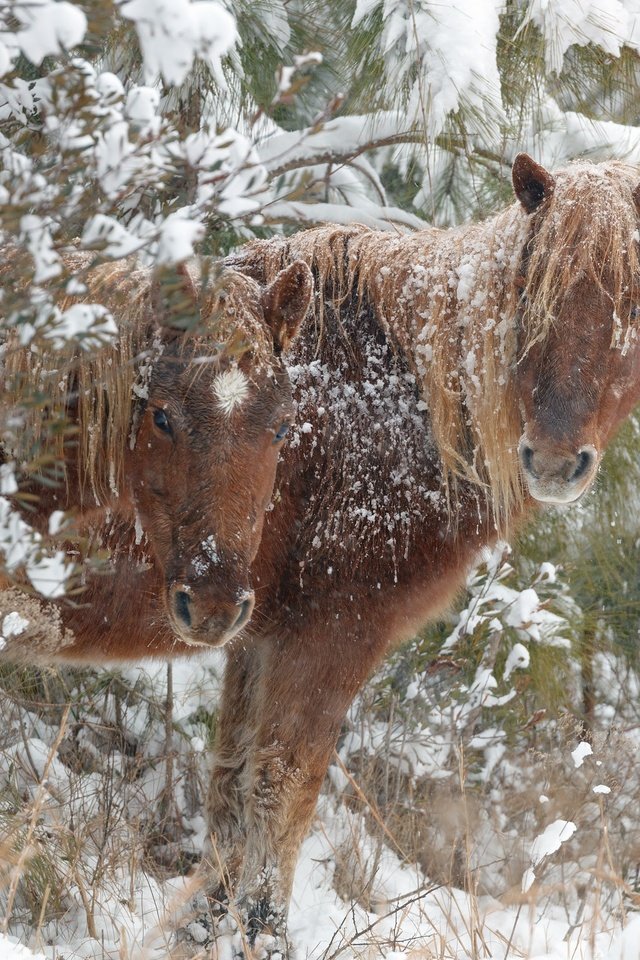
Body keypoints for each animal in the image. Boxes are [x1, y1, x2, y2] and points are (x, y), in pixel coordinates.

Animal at [0, 154, 636, 956]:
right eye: (533, 296)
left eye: (631, 306)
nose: (552, 459)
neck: (397, 407)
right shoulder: (332, 635)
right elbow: (283, 791)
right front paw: (264, 934)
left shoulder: (257, 635)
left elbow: (233, 793)